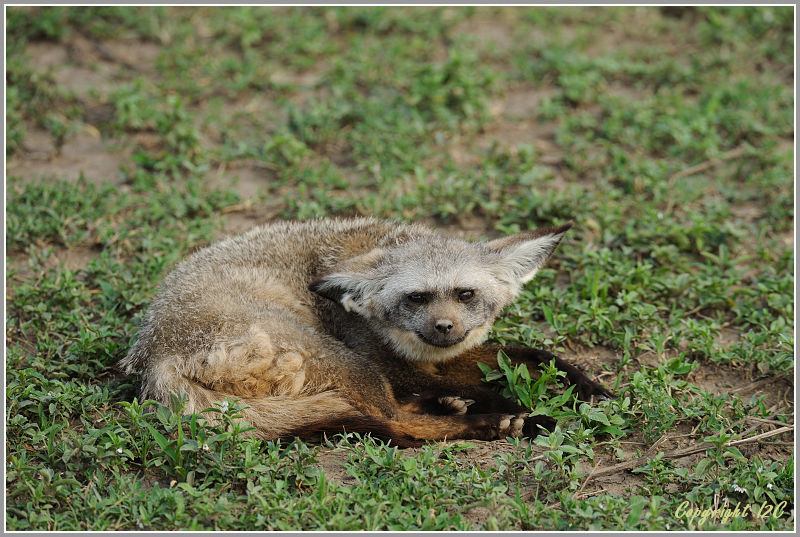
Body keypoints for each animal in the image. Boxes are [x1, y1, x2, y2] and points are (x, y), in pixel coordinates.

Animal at [122, 216, 612, 446]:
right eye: (416, 298)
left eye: (465, 294)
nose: (444, 326)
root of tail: (155, 357)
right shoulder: (384, 361)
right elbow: (477, 384)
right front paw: (511, 407)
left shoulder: (437, 356)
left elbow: (528, 351)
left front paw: (586, 386)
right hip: (343, 361)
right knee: (394, 422)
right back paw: (495, 423)